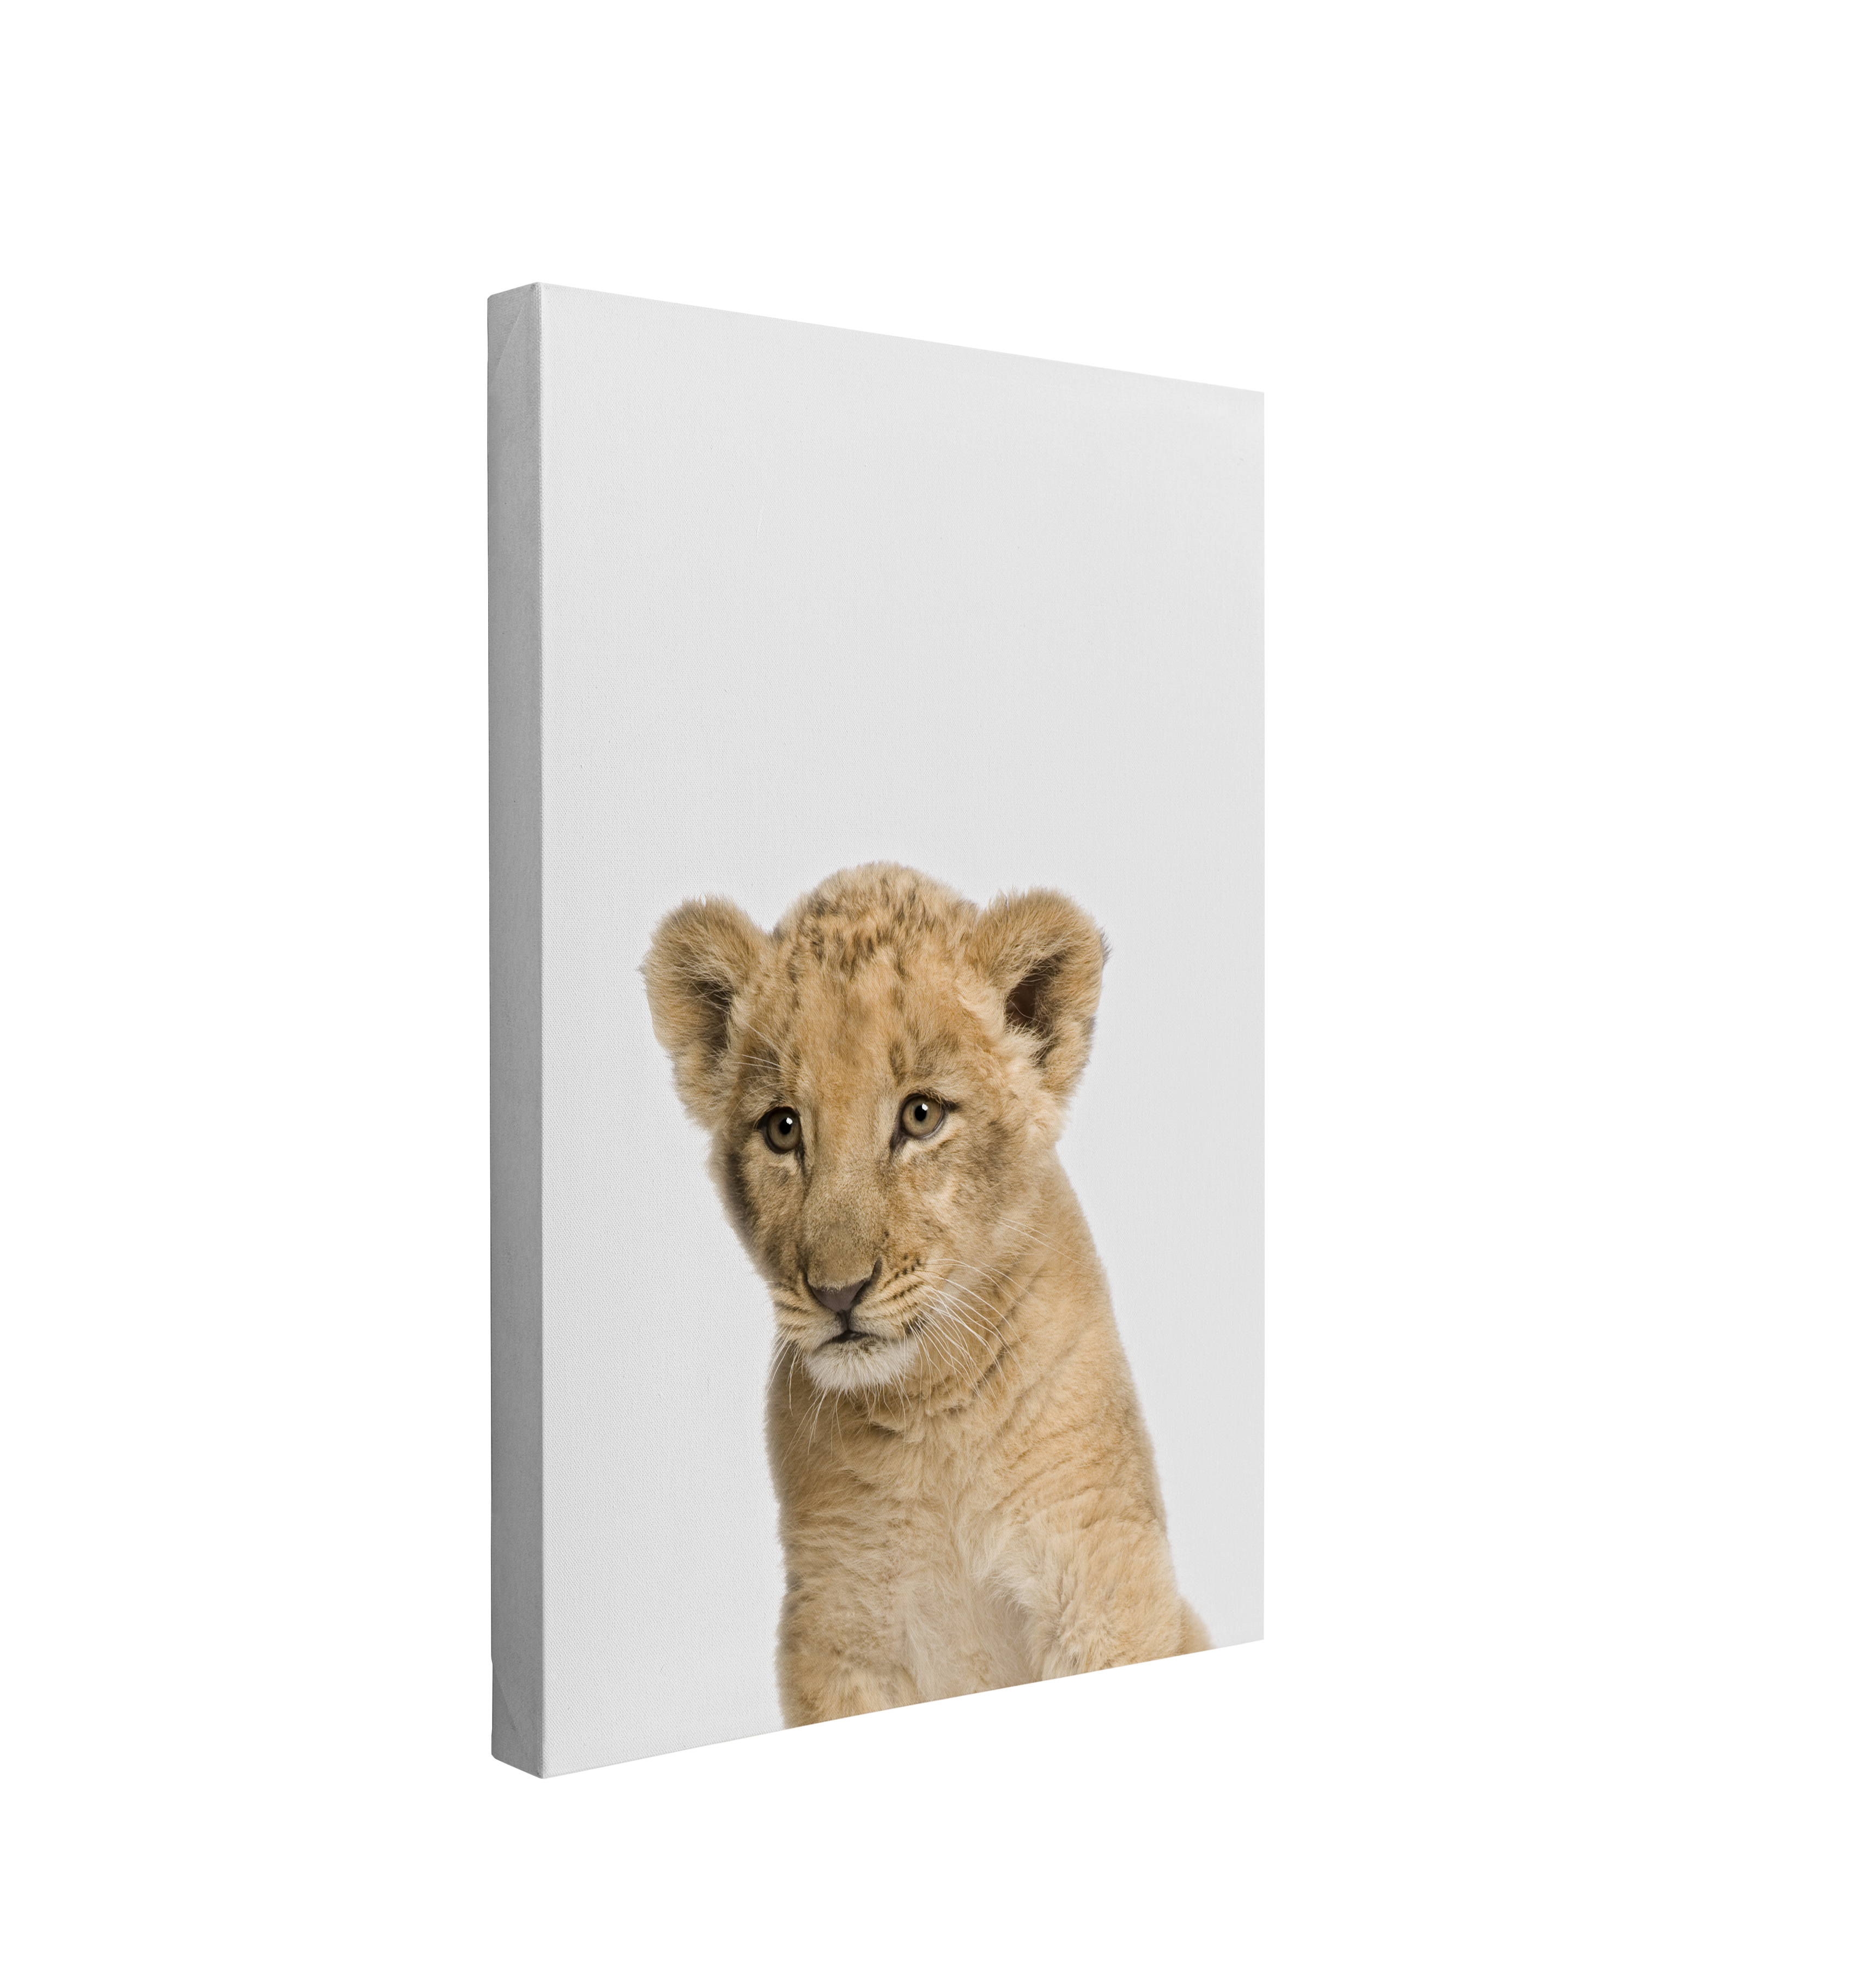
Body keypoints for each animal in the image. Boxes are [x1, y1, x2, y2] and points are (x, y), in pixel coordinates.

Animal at [642, 862, 1210, 1726]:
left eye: (920, 1116)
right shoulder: (836, 1626)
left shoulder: (1103, 1572)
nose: (838, 1292)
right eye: (782, 1129)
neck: (929, 1417)